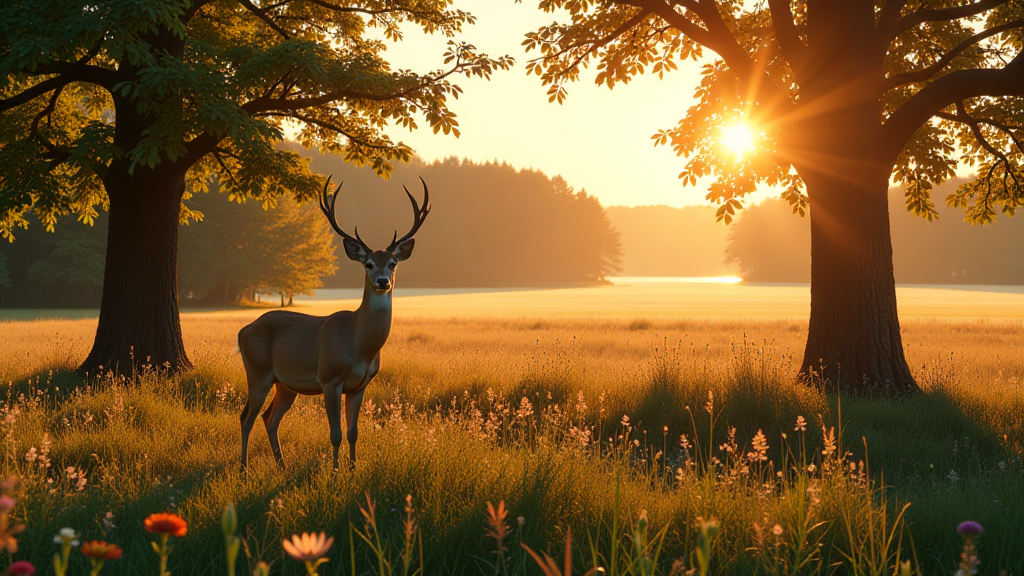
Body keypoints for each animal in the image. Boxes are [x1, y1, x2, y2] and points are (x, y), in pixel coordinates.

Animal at [237, 176, 430, 471]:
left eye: (393, 263)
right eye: (368, 264)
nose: (382, 282)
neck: (359, 346)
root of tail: (242, 331)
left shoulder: (360, 385)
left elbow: (353, 433)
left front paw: (352, 469)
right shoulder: (329, 378)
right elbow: (335, 433)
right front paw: (336, 470)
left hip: (285, 384)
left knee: (269, 418)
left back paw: (282, 466)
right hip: (257, 371)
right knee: (246, 417)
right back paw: (244, 469)